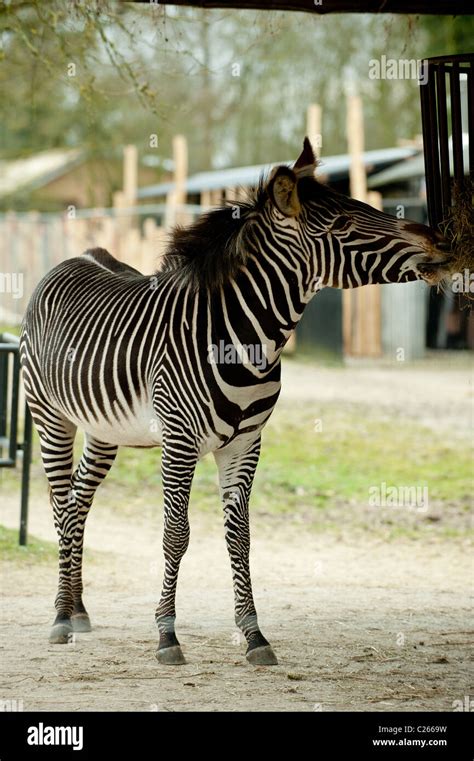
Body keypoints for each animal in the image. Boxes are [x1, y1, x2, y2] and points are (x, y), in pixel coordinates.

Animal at [21, 140, 452, 664]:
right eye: (343, 225)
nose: (441, 243)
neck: (245, 339)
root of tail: (82, 254)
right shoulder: (180, 441)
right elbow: (177, 534)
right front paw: (167, 635)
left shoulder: (246, 443)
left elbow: (240, 537)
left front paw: (253, 635)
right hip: (51, 417)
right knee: (61, 505)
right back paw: (61, 617)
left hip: (104, 430)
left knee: (78, 502)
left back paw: (79, 609)